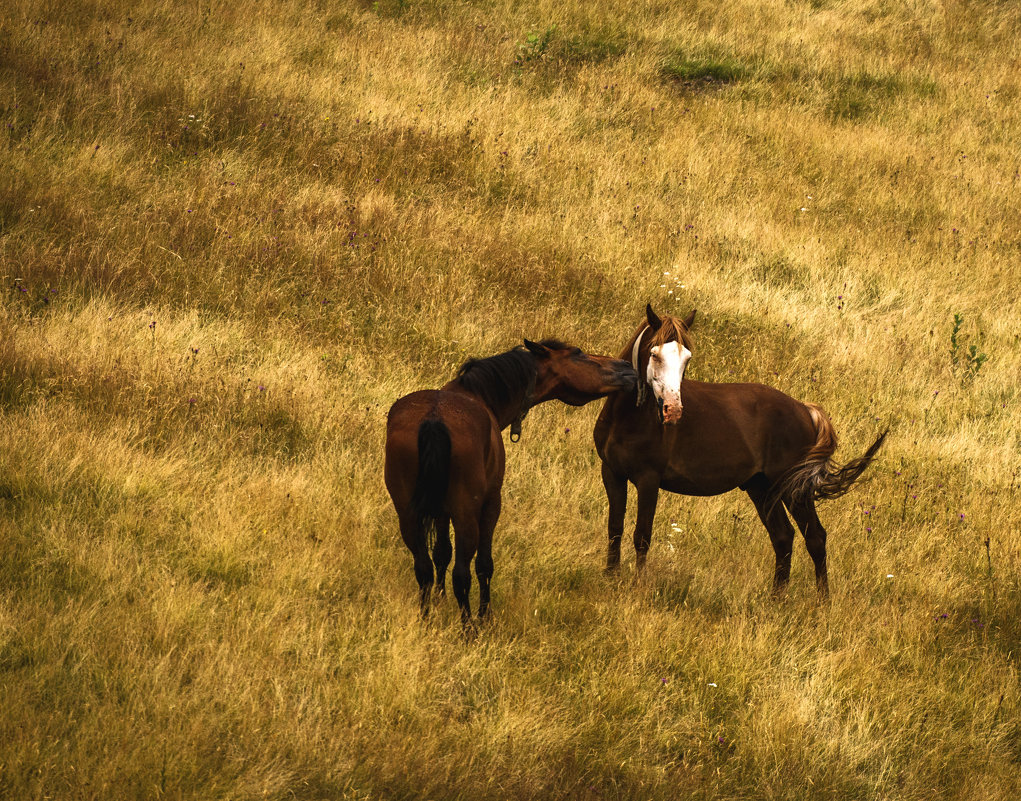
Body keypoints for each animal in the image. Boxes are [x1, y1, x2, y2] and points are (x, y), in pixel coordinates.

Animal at [383, 336, 633, 624]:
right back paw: (470, 627)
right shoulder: (491, 504)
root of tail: (433, 421)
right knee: (462, 573)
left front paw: (439, 601)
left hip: (408, 515)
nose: (628, 368)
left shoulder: (441, 512)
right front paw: (485, 614)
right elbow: (483, 565)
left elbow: (441, 554)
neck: (477, 394)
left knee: (423, 568)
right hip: (466, 515)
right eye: (577, 353)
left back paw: (426, 620)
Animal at [596, 306, 890, 591]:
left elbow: (642, 535)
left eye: (686, 358)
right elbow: (615, 527)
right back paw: (776, 598)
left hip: (793, 489)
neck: (628, 417)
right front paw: (610, 576)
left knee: (815, 537)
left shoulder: (648, 480)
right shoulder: (612, 473)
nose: (673, 410)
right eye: (654, 354)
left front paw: (637, 585)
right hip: (762, 488)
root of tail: (805, 410)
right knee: (783, 537)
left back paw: (821, 600)